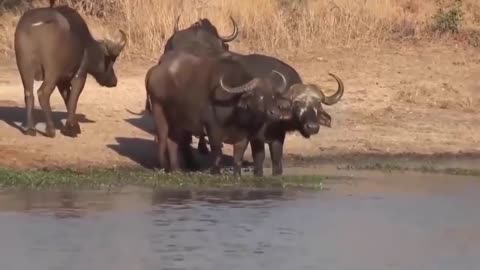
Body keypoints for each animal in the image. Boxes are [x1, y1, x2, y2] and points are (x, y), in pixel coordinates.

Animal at [14, 2, 127, 137]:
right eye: (111, 60)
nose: (114, 81)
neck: (85, 45)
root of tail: (35, 25)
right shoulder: (80, 76)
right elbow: (73, 99)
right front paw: (70, 129)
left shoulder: (62, 82)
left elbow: (67, 99)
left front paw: (74, 125)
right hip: (52, 72)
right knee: (43, 93)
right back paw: (50, 130)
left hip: (25, 69)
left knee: (28, 94)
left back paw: (30, 129)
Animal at [144, 50, 290, 176]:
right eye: (258, 96)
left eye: (273, 96)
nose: (274, 113)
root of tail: (155, 71)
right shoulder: (213, 129)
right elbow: (217, 152)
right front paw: (216, 172)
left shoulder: (243, 136)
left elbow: (238, 157)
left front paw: (237, 174)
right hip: (159, 111)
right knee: (163, 140)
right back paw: (164, 166)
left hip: (178, 122)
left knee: (172, 141)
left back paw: (176, 169)